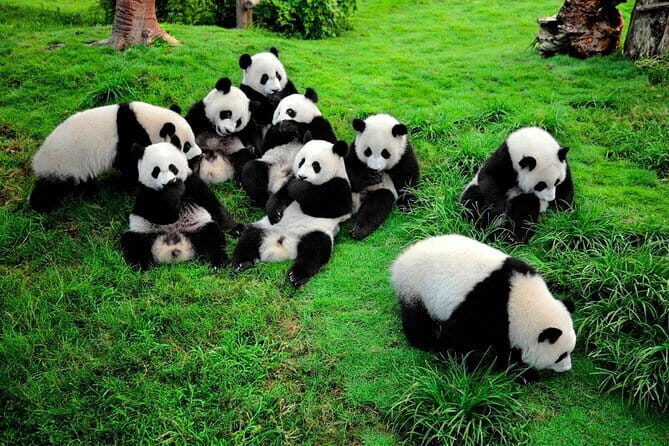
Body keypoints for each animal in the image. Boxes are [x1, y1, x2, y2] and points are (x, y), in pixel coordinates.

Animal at [30, 101, 203, 212]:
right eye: (186, 146)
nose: (199, 156)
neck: (147, 122)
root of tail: (38, 160)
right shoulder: (129, 136)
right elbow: (131, 163)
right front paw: (129, 184)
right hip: (64, 164)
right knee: (51, 186)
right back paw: (41, 205)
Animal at [232, 139, 352, 287]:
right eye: (301, 161)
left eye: (315, 165)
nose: (302, 176)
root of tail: (281, 243)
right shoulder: (290, 179)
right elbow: (281, 195)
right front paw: (275, 211)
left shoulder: (341, 186)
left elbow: (330, 206)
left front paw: (298, 188)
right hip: (265, 227)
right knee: (250, 237)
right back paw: (243, 263)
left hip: (314, 232)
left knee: (314, 250)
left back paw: (296, 276)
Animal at [391, 234, 576, 374]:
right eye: (561, 355)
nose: (567, 368)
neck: (519, 300)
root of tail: (400, 260)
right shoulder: (485, 306)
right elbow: (456, 335)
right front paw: (458, 363)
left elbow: (504, 344)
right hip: (415, 286)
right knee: (416, 318)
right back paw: (424, 342)